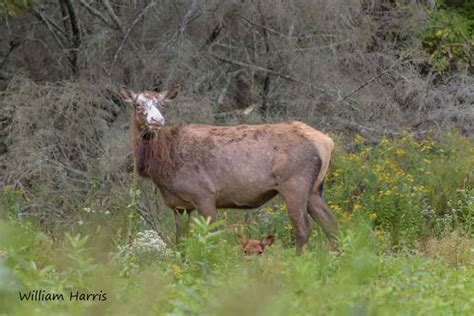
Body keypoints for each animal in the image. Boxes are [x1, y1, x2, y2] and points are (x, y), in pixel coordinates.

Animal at [120, 86, 338, 254]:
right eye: (138, 105)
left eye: (162, 104)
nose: (157, 120)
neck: (161, 165)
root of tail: (326, 142)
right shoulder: (179, 205)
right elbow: (180, 242)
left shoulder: (204, 195)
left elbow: (211, 238)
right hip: (314, 189)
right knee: (332, 225)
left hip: (294, 184)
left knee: (304, 228)